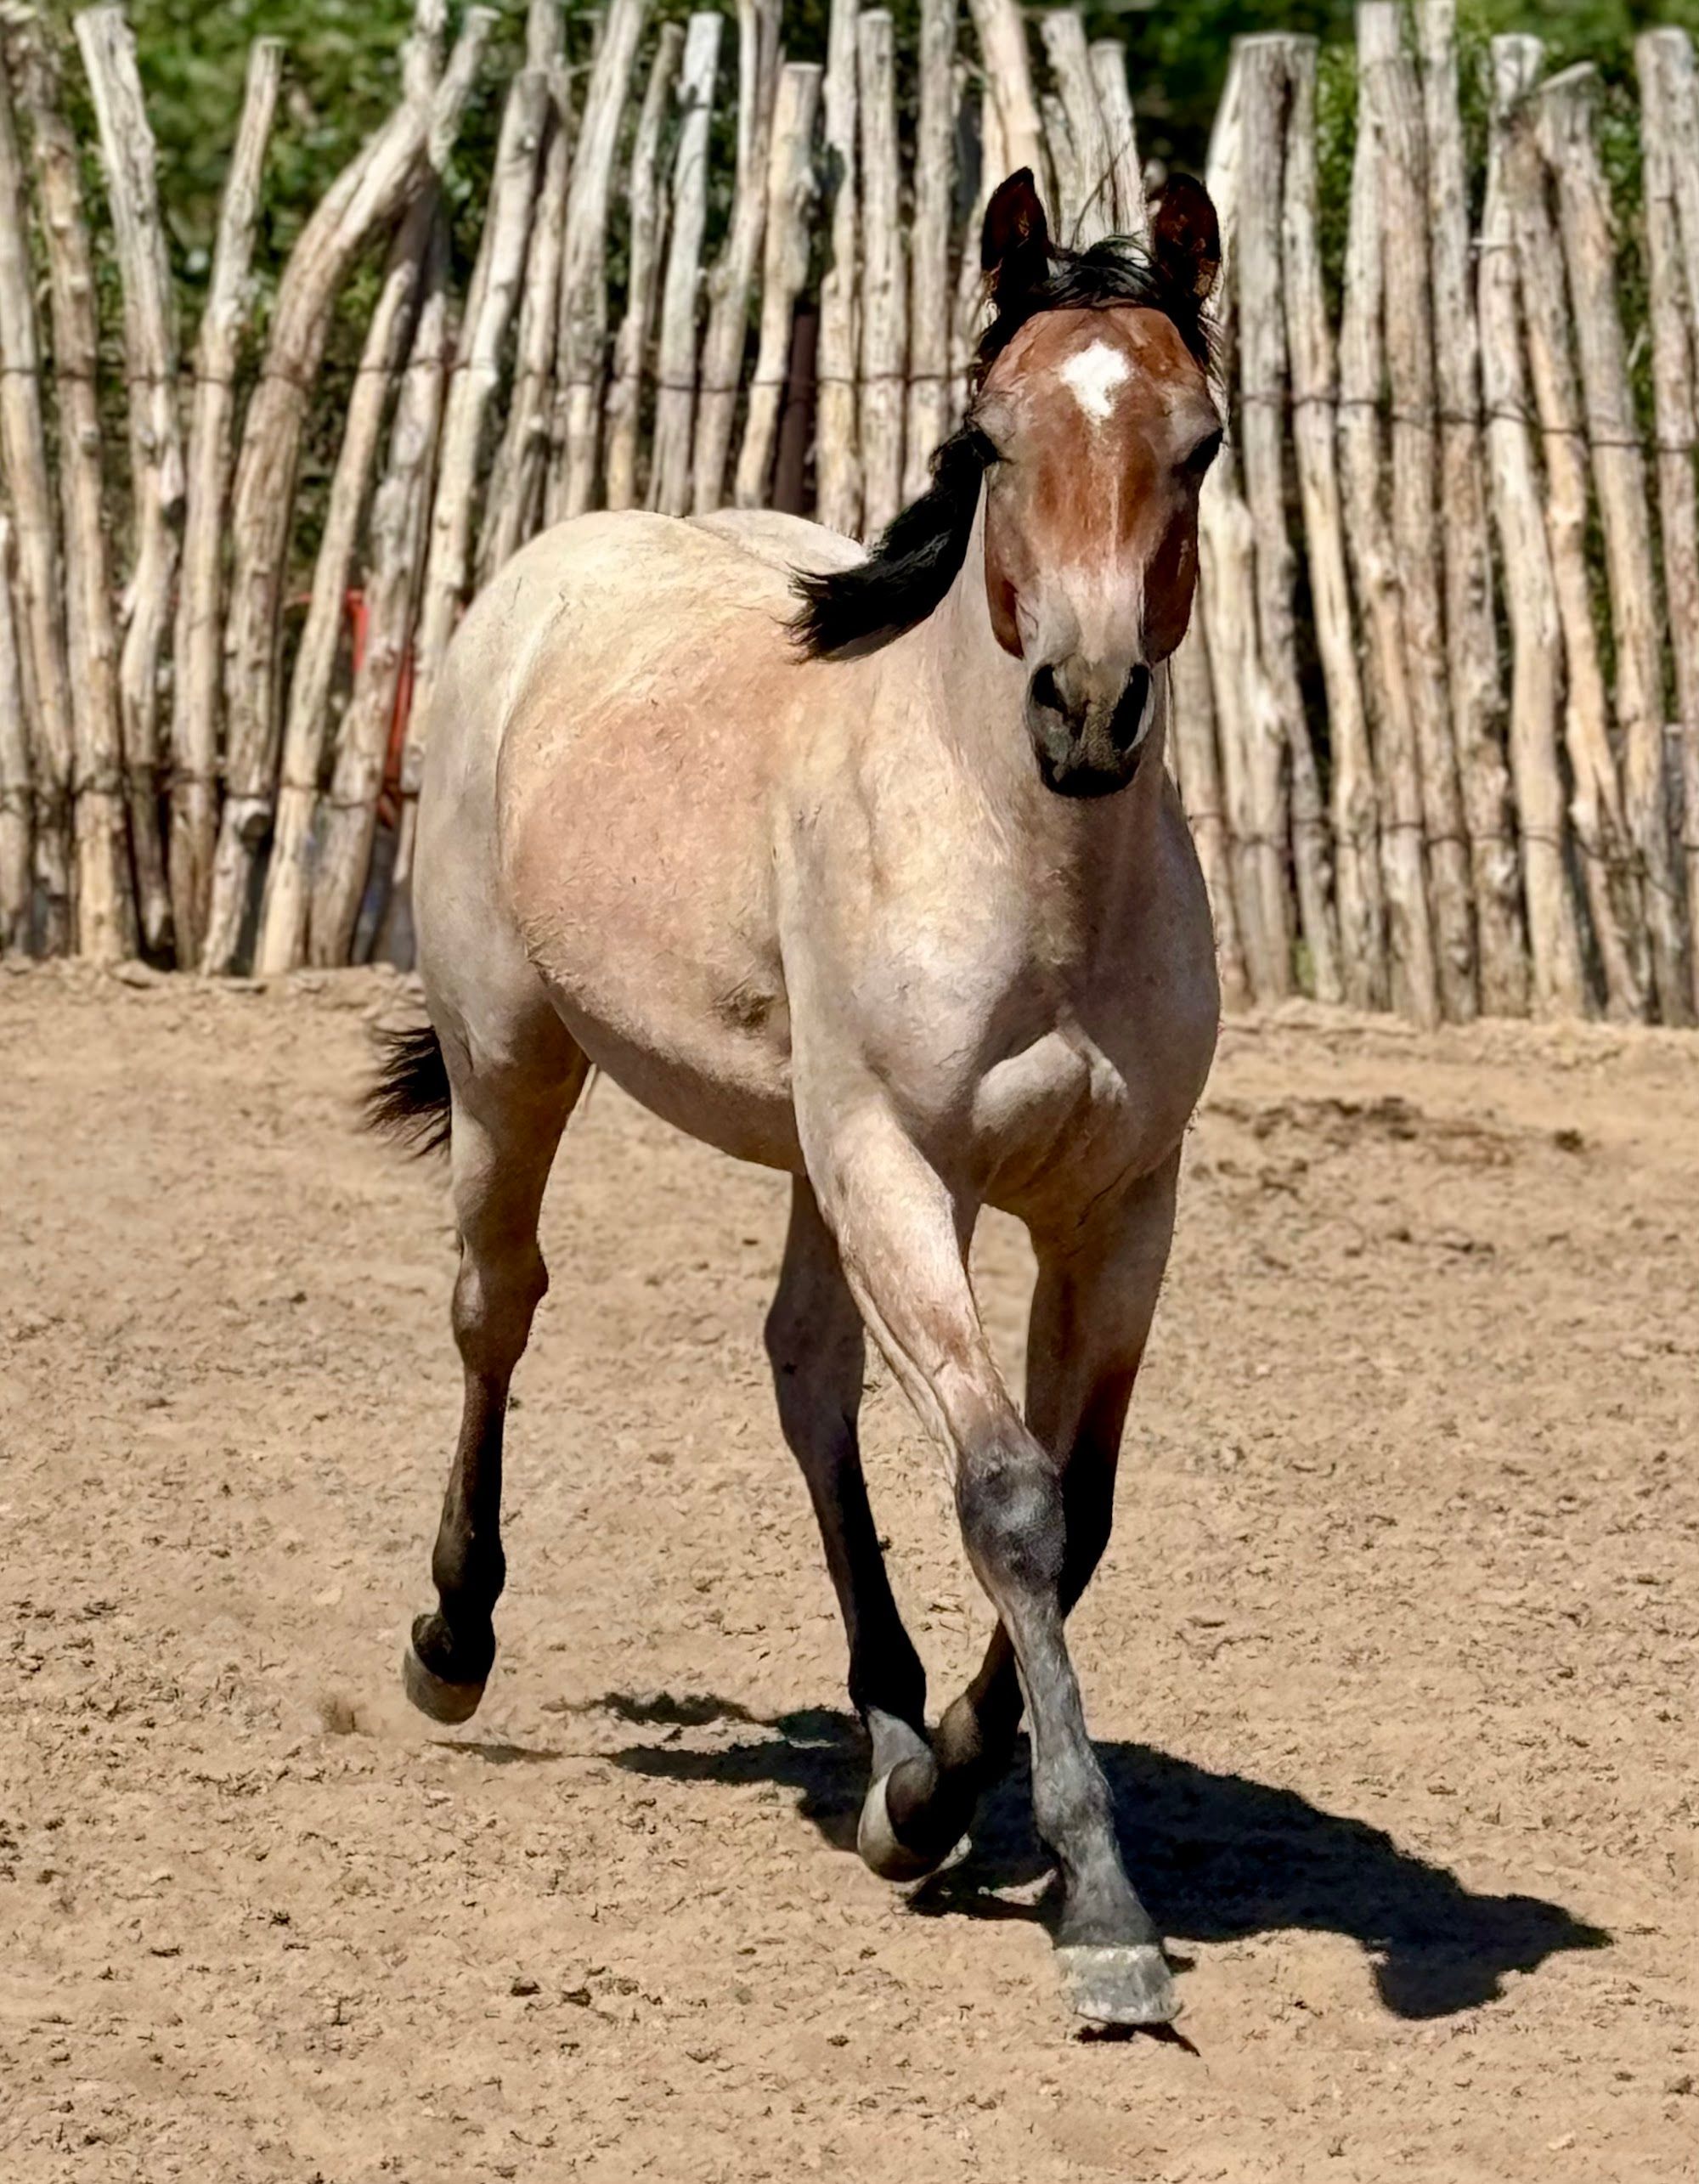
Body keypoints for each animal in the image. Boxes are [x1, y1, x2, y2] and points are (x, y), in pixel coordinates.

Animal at [369, 168, 1225, 2027]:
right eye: (990, 438)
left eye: (1195, 442)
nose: (1086, 708)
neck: (1032, 869)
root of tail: (540, 576)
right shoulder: (902, 1165)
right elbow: (1009, 1498)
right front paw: (1104, 1909)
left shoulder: (1118, 1205)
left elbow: (1078, 1504)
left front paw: (929, 1806)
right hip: (513, 1058)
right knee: (494, 1305)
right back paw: (452, 1643)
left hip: (809, 1155)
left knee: (803, 1372)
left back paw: (890, 1738)